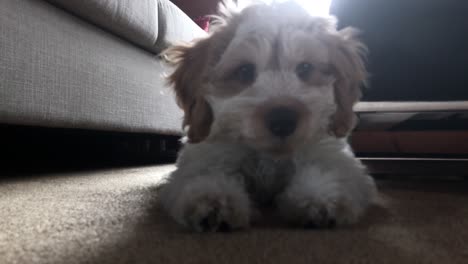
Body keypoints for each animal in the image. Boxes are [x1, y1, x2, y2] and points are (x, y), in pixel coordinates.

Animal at [160, 1, 376, 232]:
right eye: (245, 71)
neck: (270, 157)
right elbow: (204, 173)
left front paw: (320, 196)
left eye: (305, 67)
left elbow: (331, 170)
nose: (283, 121)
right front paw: (213, 197)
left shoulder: (335, 157)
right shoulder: (204, 154)